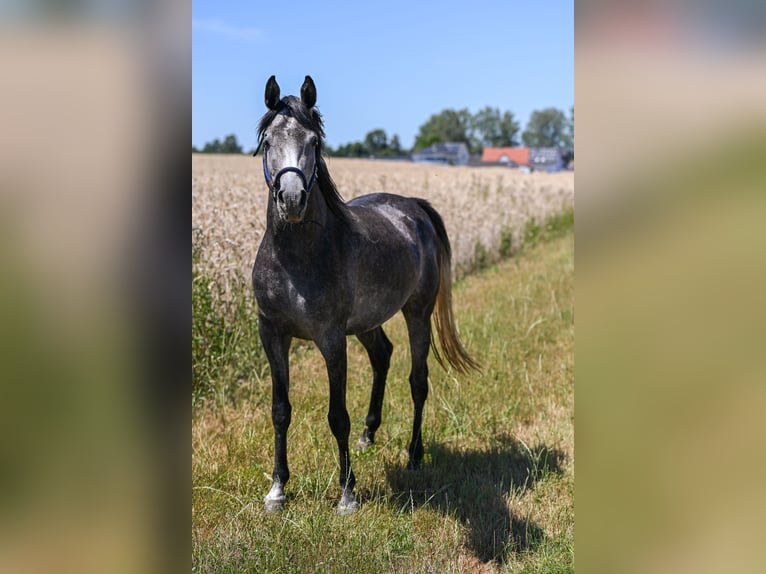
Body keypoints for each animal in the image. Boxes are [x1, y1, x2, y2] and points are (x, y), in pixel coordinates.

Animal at [252, 75, 480, 514]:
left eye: (314, 141)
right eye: (268, 141)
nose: (292, 200)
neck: (295, 257)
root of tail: (413, 208)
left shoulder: (331, 339)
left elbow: (337, 416)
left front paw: (347, 493)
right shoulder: (272, 334)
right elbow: (280, 410)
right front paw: (277, 489)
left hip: (417, 313)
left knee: (418, 380)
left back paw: (414, 454)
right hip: (367, 322)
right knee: (382, 355)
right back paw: (369, 434)